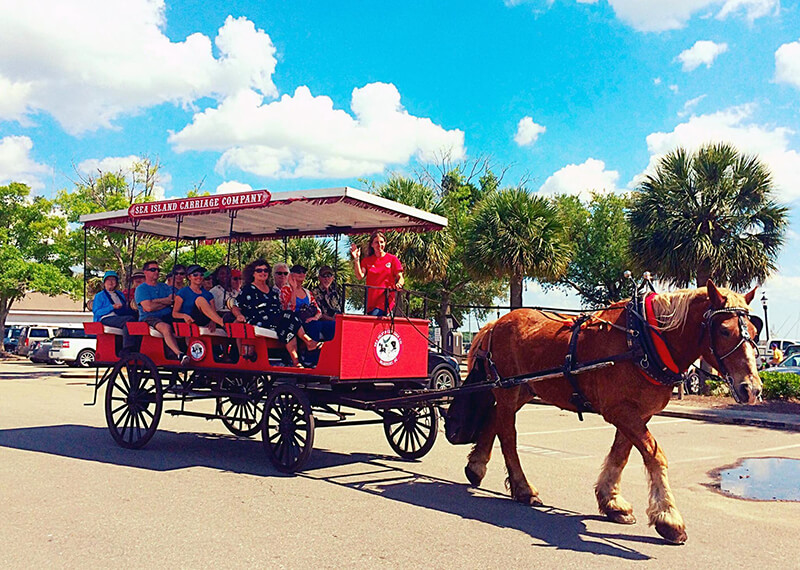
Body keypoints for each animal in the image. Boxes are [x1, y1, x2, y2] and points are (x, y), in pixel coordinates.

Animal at [460, 280, 760, 540]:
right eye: (724, 330)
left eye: (755, 333)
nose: (752, 389)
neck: (643, 339)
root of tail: (494, 324)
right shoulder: (620, 410)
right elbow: (655, 456)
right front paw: (668, 517)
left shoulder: (637, 412)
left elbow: (621, 454)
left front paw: (612, 502)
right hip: (508, 390)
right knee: (508, 436)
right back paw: (523, 488)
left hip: (523, 389)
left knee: (494, 420)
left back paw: (476, 467)